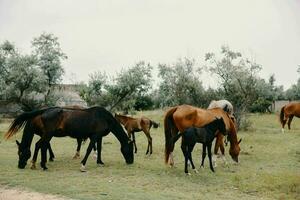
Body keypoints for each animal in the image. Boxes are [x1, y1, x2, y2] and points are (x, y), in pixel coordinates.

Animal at [4, 106, 134, 170]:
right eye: (131, 149)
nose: (131, 162)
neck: (104, 117)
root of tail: (44, 111)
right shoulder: (94, 136)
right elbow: (89, 149)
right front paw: (83, 165)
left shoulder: (99, 137)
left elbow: (100, 149)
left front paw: (100, 162)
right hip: (48, 134)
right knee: (40, 145)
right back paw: (40, 165)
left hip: (47, 135)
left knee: (41, 145)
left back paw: (40, 164)